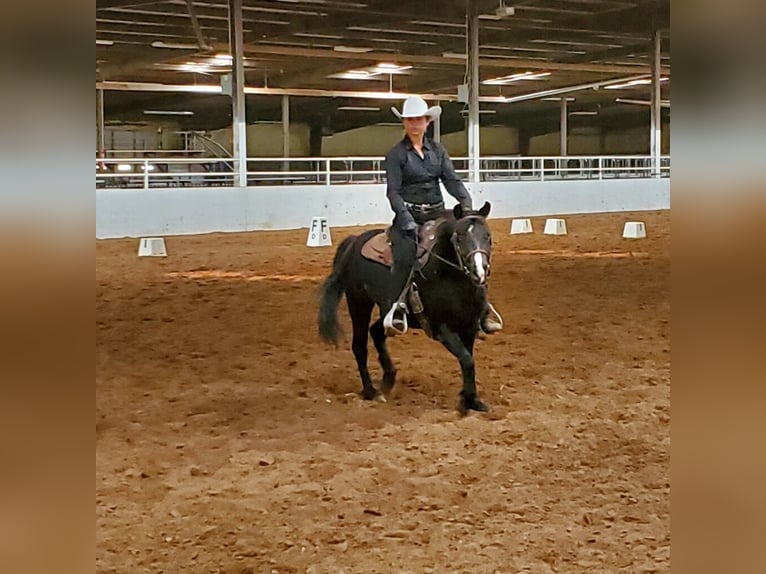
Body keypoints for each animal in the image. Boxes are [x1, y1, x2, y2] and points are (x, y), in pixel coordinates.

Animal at [318, 201, 494, 414]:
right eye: (459, 237)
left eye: (488, 236)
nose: (479, 273)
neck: (450, 277)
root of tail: (354, 242)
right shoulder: (443, 329)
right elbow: (467, 360)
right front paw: (466, 402)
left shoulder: (469, 327)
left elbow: (469, 360)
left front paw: (472, 400)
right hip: (359, 303)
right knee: (359, 346)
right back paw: (371, 392)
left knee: (376, 331)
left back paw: (388, 377)